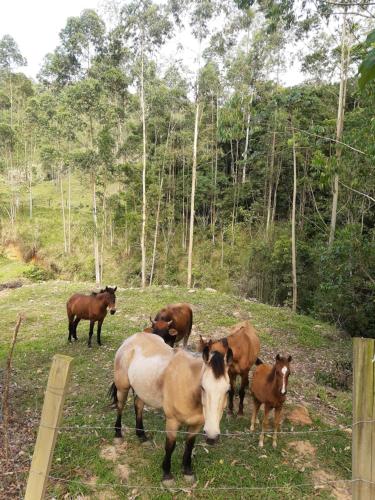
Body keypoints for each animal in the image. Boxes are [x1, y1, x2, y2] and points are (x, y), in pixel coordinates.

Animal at [108, 334, 232, 482]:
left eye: (227, 390)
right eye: (203, 387)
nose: (212, 437)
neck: (188, 387)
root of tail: (132, 338)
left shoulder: (196, 425)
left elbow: (189, 445)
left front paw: (187, 471)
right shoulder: (172, 422)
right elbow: (170, 446)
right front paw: (167, 474)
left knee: (138, 406)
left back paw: (142, 437)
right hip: (123, 388)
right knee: (120, 407)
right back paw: (118, 434)